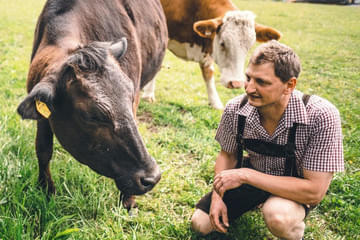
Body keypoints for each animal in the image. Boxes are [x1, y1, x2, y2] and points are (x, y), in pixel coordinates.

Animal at [16, 0, 167, 210]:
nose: (152, 177)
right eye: (92, 116)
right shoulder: (44, 116)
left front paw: (128, 201)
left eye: (129, 98)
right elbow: (43, 148)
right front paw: (45, 188)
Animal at [142, 0, 282, 109]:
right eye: (222, 43)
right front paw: (148, 94)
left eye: (249, 47)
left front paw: (215, 102)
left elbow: (208, 74)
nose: (236, 83)